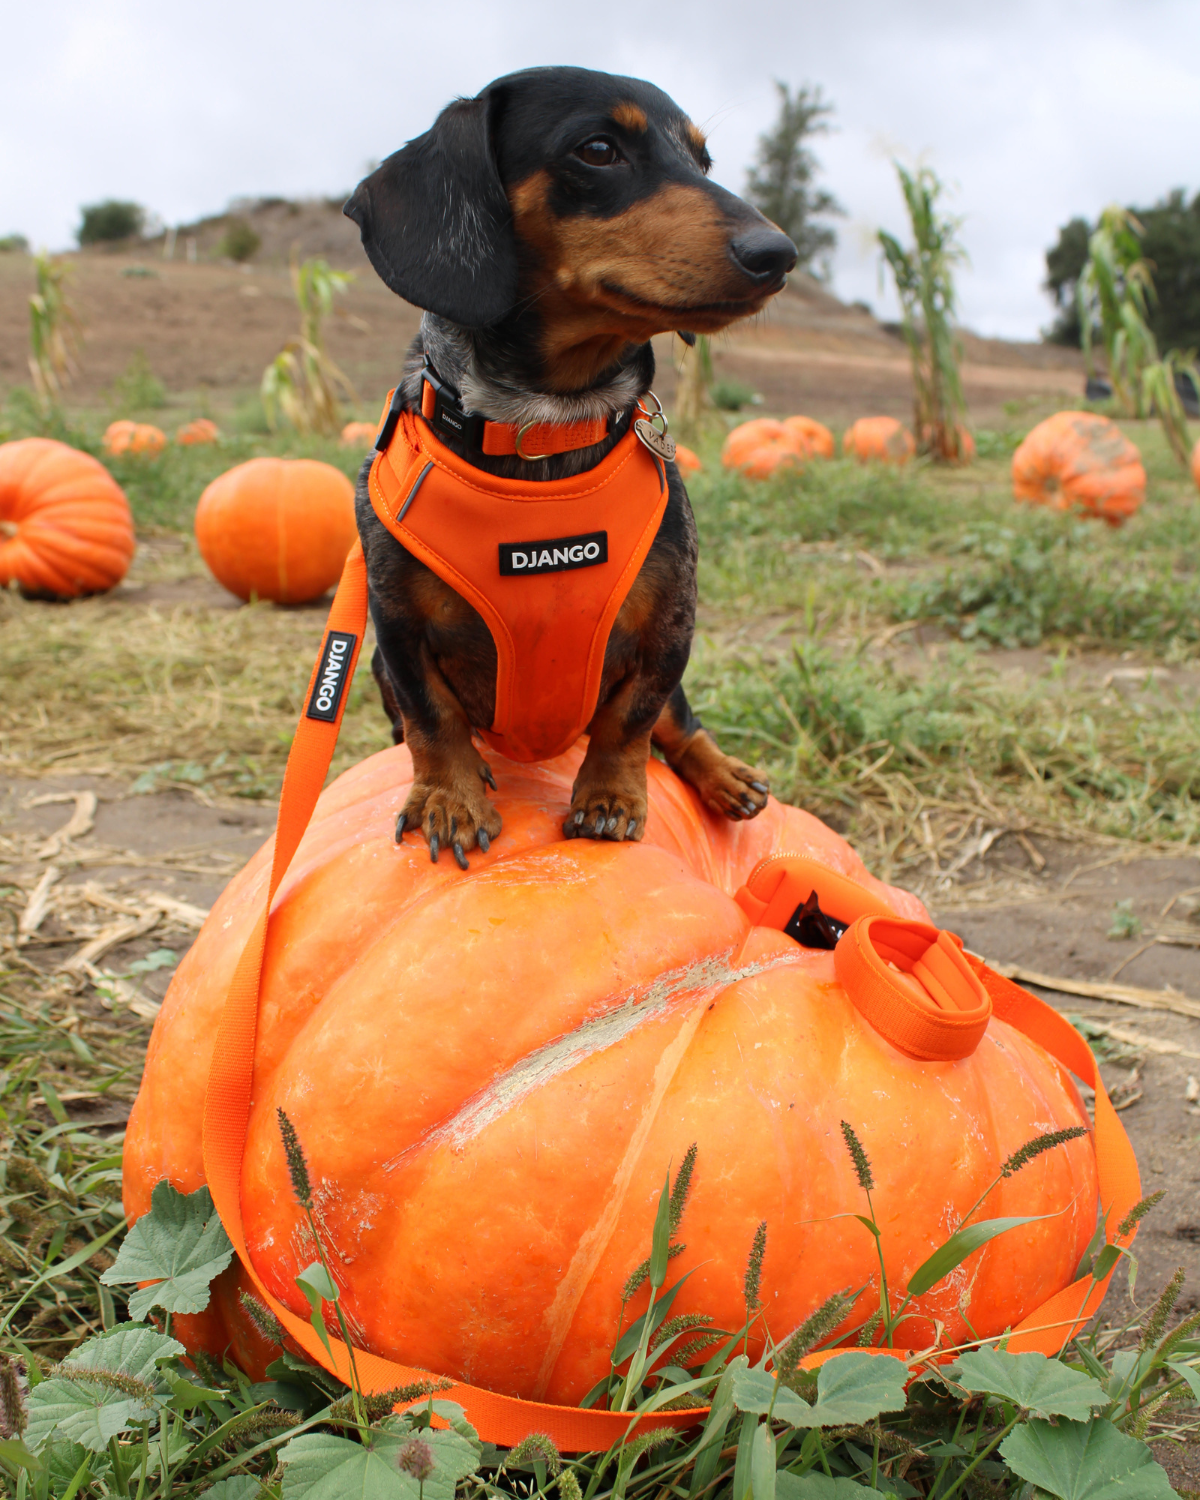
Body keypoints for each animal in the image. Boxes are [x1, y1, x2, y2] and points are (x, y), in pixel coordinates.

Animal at [345, 67, 798, 870]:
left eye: (702, 160)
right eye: (598, 149)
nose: (778, 254)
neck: (545, 427)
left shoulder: (667, 628)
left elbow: (632, 720)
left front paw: (609, 798)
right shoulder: (396, 630)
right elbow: (432, 718)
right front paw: (449, 798)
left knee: (679, 724)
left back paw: (723, 775)